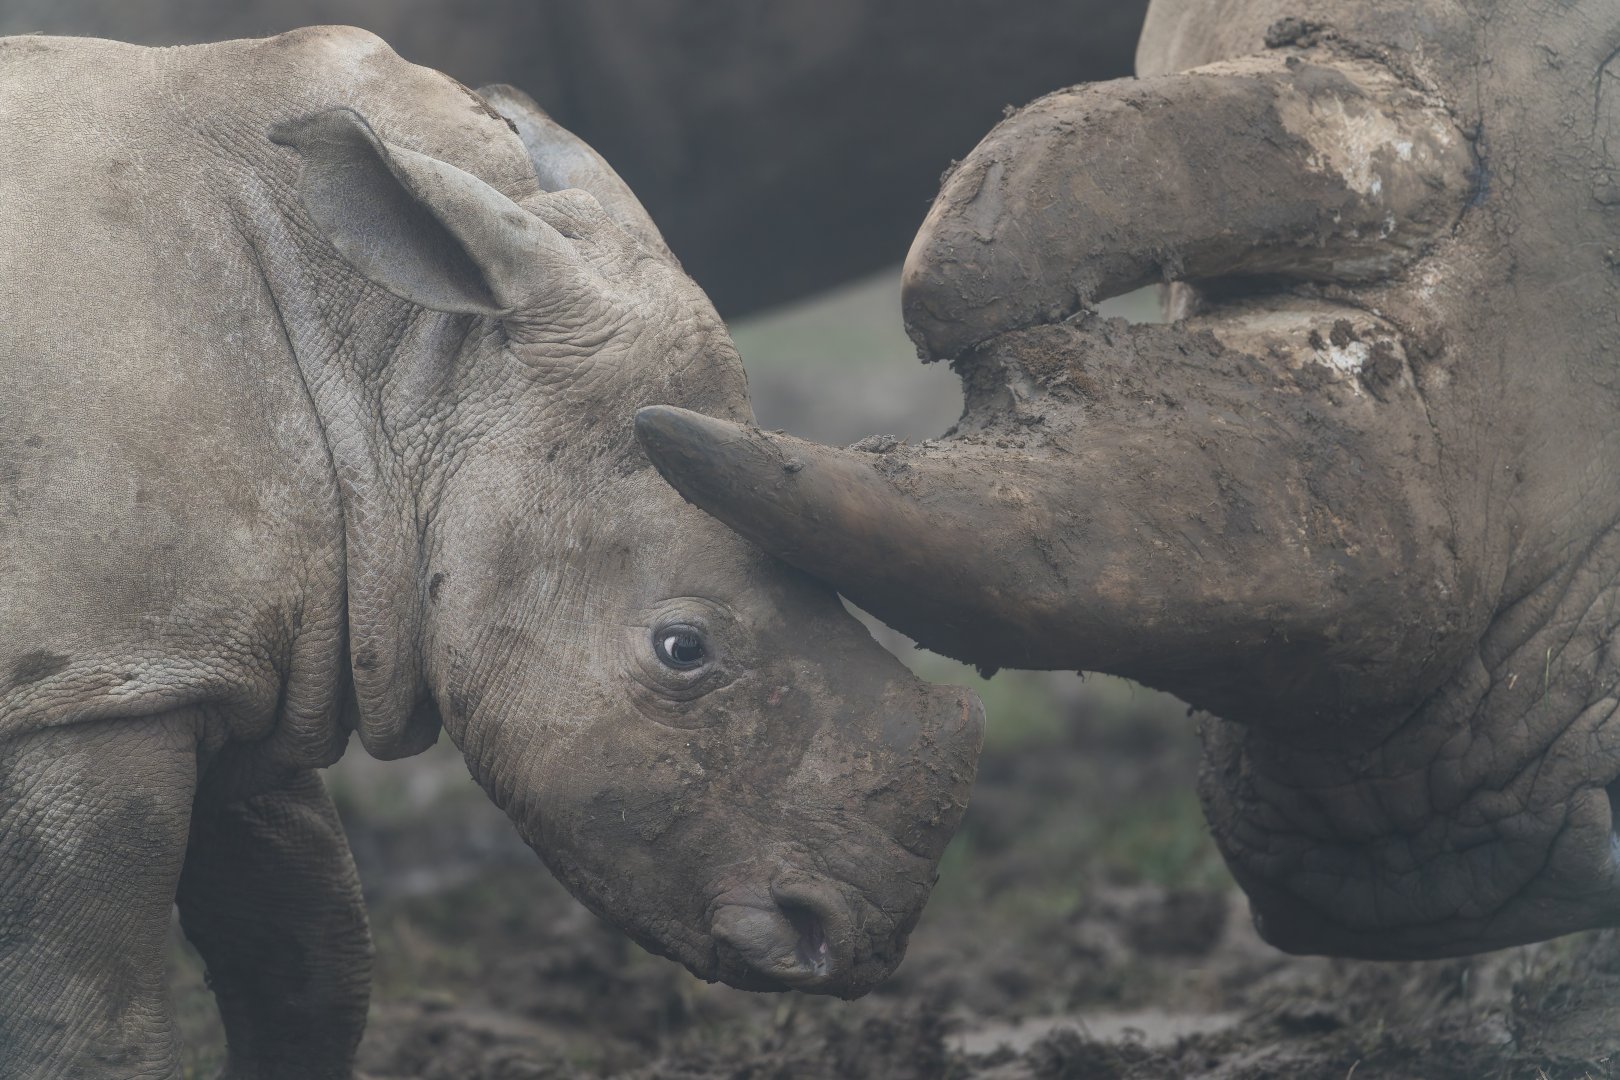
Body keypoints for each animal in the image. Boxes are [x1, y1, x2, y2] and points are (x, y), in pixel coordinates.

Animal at [0, 28, 983, 1079]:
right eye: (682, 650)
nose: (851, 941)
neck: (392, 360)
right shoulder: (97, 682)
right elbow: (97, 1029)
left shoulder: (210, 660)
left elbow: (312, 953)